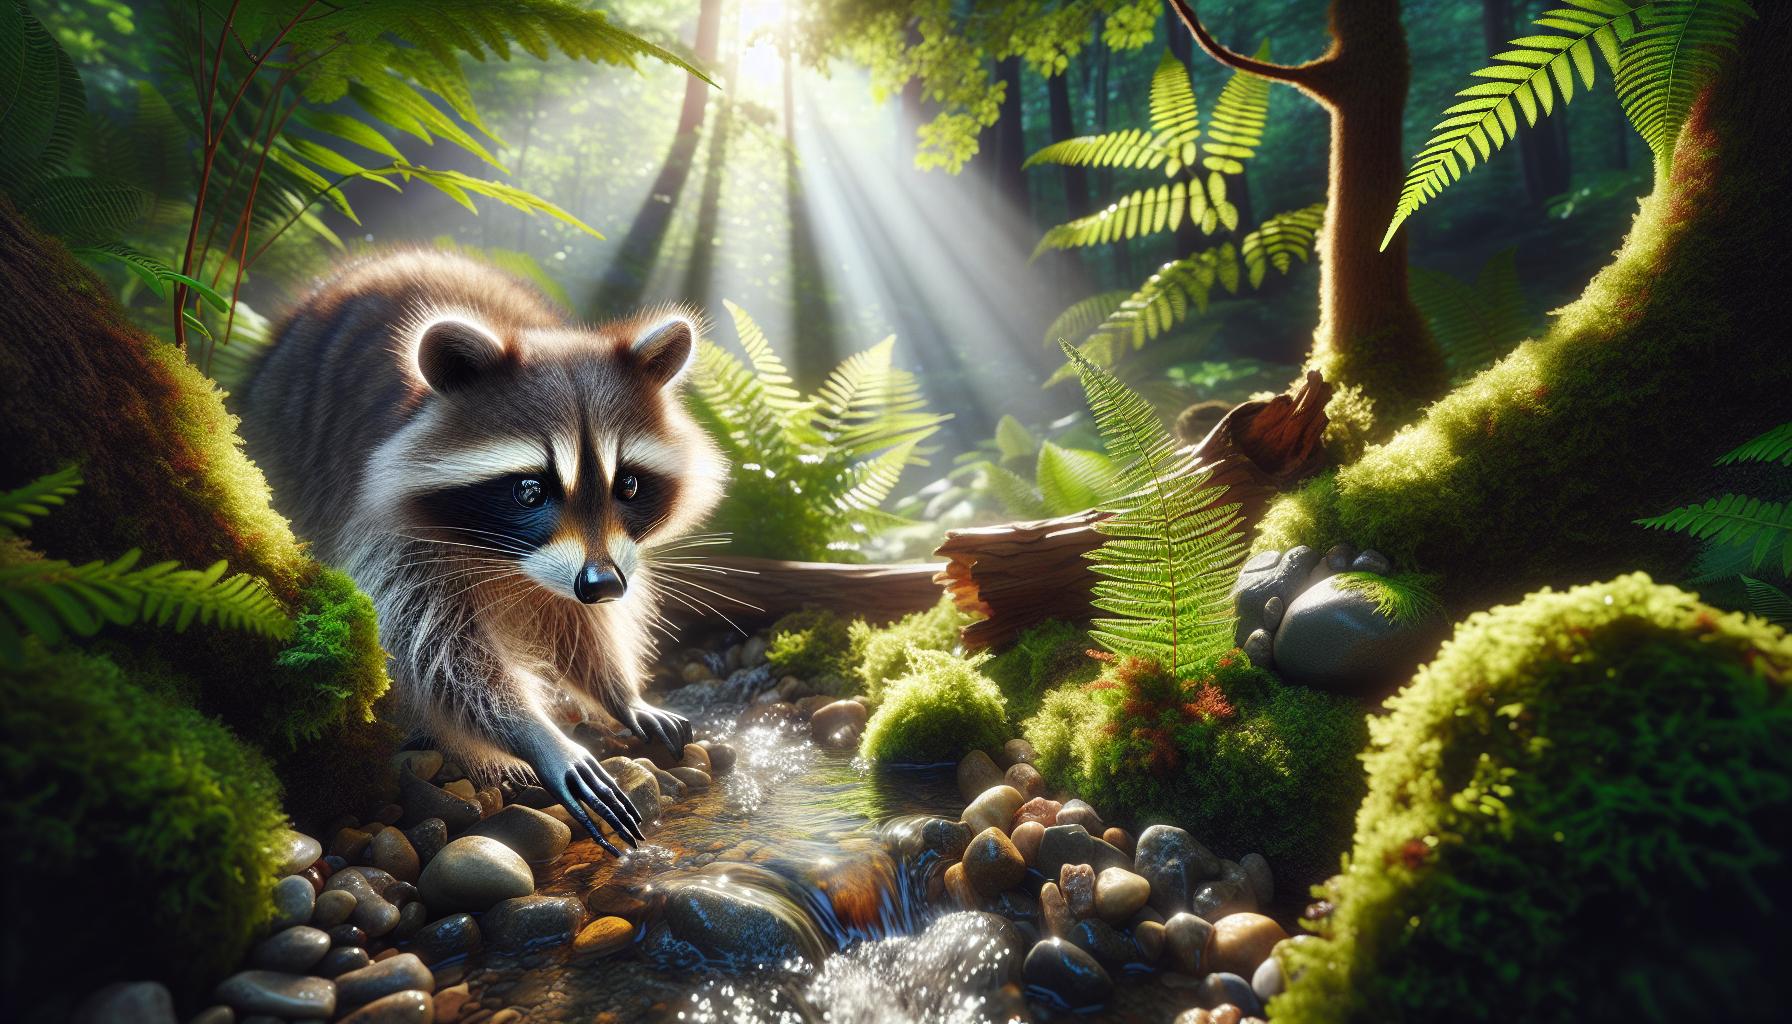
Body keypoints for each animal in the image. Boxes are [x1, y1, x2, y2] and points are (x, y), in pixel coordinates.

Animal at [238, 250, 725, 855]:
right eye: (530, 490)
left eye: (629, 486)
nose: (604, 585)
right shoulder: (384, 527)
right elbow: (436, 652)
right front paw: (537, 733)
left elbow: (578, 624)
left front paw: (620, 692)